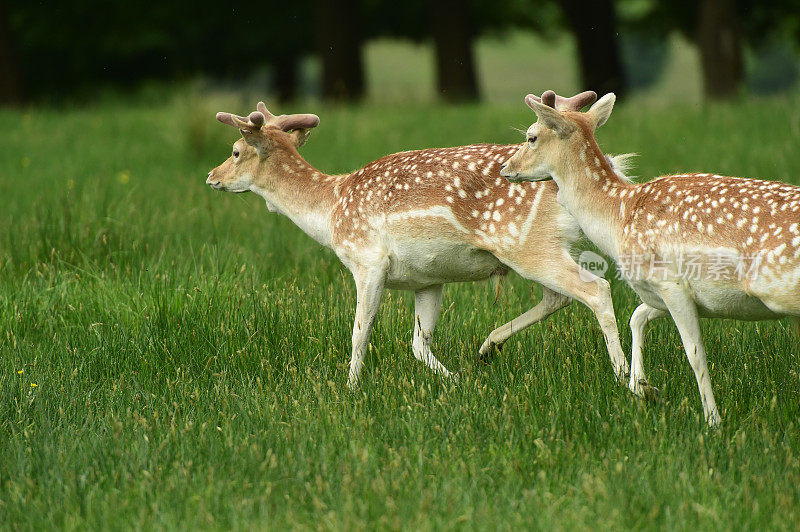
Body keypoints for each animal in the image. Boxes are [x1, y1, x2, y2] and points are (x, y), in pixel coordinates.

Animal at [206, 98, 632, 390]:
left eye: (235, 152)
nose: (211, 177)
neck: (331, 211)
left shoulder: (368, 261)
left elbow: (359, 332)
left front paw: (350, 390)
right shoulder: (427, 279)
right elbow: (418, 343)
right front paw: (457, 382)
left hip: (526, 243)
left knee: (595, 289)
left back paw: (625, 376)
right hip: (536, 247)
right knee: (558, 297)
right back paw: (487, 348)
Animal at [500, 89, 800, 426]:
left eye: (531, 136)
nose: (506, 168)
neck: (618, 218)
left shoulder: (670, 282)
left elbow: (695, 353)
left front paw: (712, 420)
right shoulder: (663, 293)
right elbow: (637, 316)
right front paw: (642, 388)